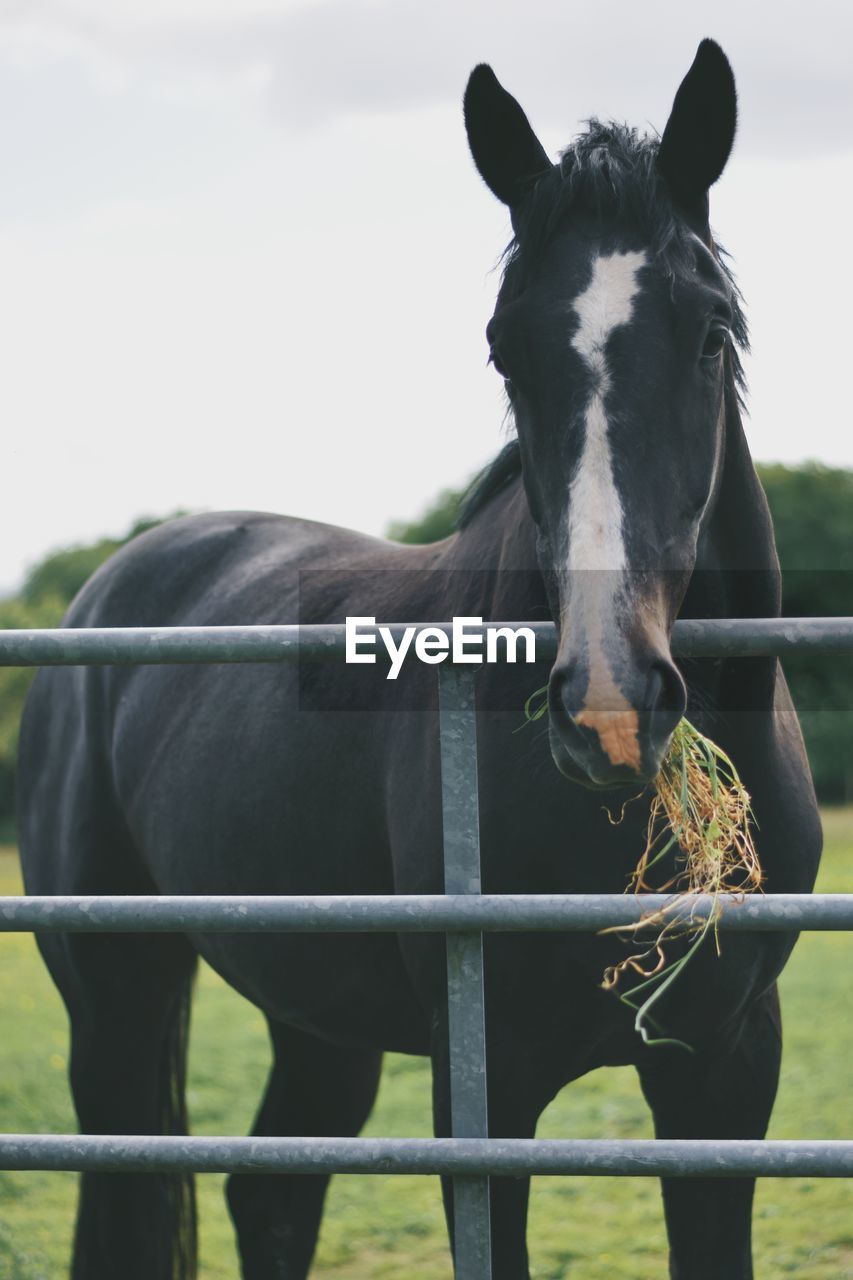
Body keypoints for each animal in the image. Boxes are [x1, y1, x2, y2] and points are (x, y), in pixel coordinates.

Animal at [18, 37, 819, 1280]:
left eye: (711, 330)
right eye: (503, 349)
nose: (609, 704)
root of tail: (122, 576)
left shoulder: (727, 1069)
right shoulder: (486, 1083)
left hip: (313, 1015)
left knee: (271, 1193)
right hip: (116, 999)